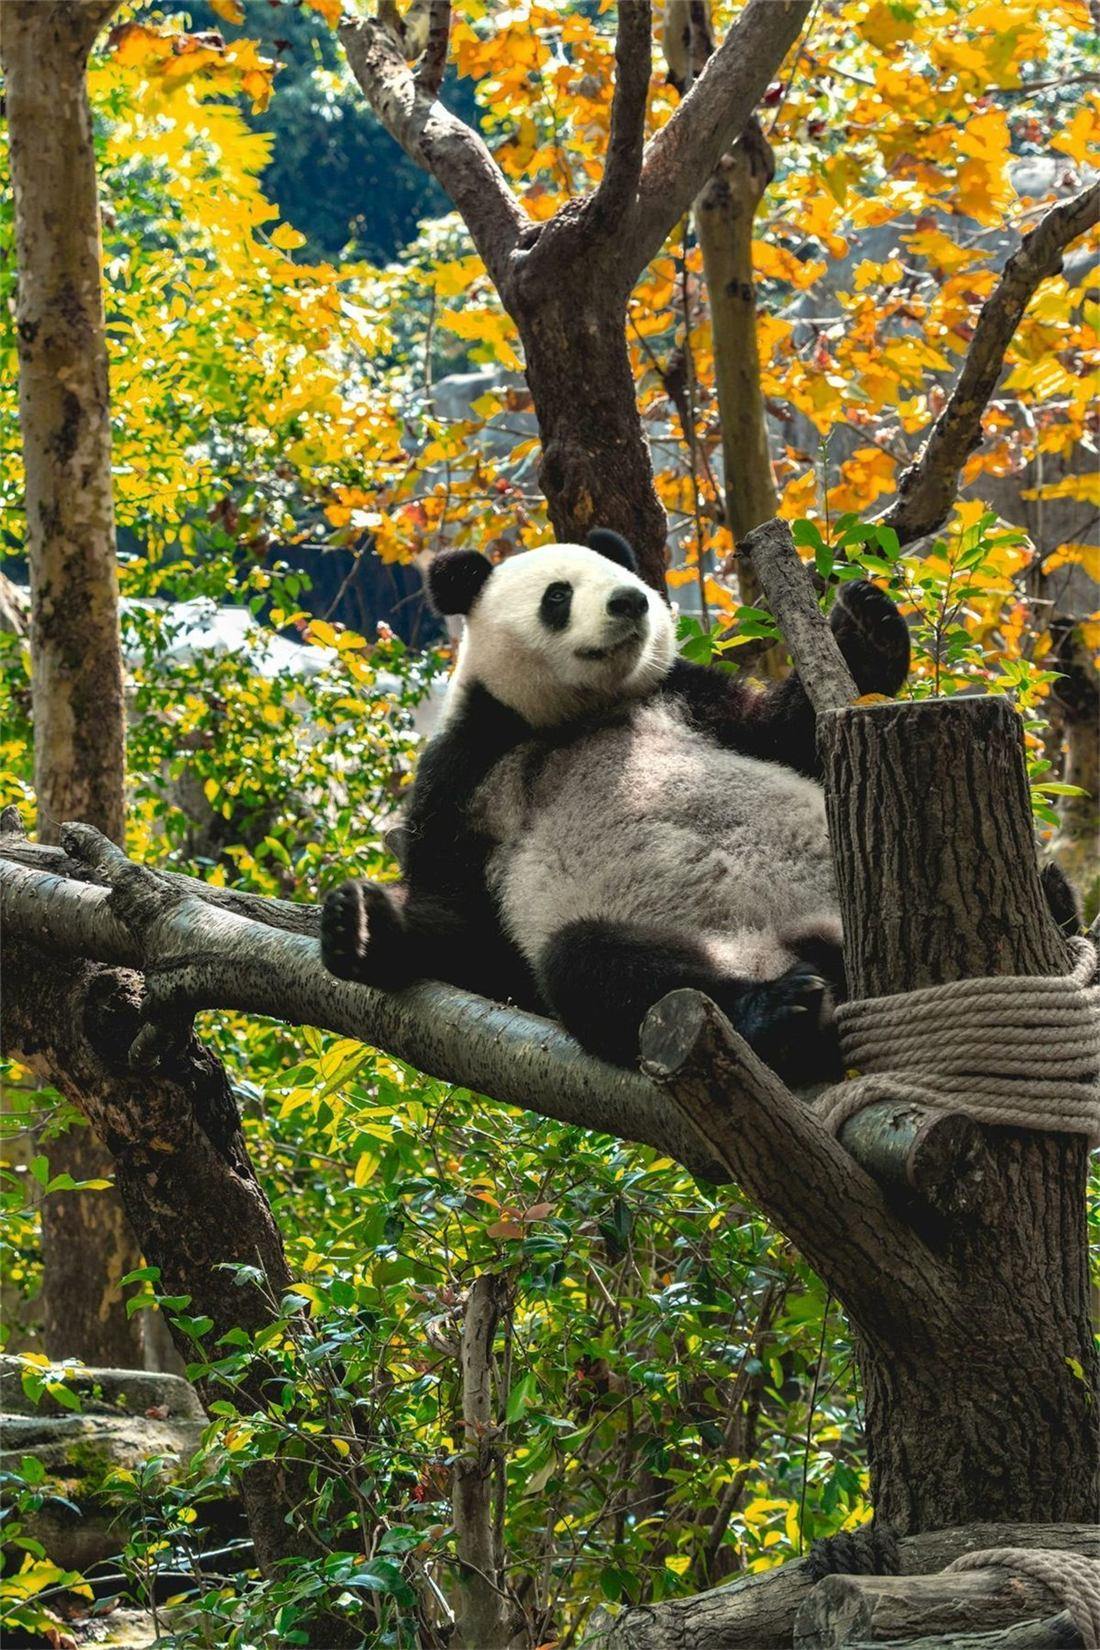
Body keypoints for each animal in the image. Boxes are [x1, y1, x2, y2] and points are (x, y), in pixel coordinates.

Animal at [320, 528, 916, 1085]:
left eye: (623, 578)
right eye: (558, 595)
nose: (630, 601)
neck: (576, 714)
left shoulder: (688, 696)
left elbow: (786, 732)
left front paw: (871, 622)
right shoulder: (465, 771)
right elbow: (466, 928)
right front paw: (360, 925)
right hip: (702, 943)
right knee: (596, 967)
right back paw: (779, 1012)